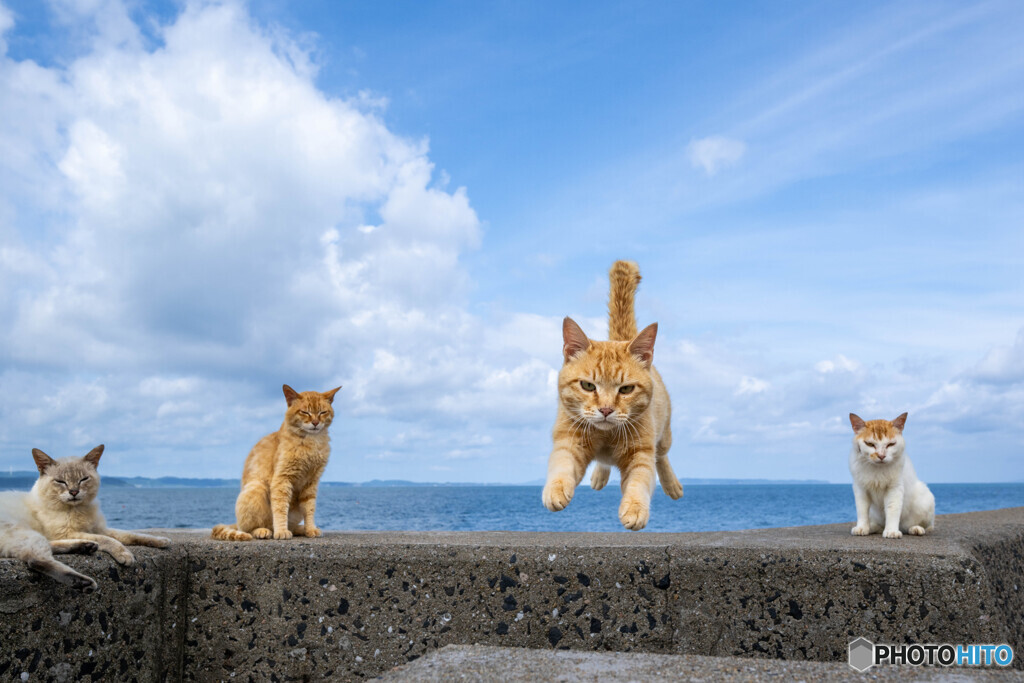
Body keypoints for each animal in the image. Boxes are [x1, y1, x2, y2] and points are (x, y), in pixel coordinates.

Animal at [210, 385, 339, 540]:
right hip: (256, 488)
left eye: (322, 412)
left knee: (292, 525)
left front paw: (310, 529)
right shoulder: (281, 479)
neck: (311, 442)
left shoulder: (311, 482)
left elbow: (309, 508)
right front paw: (281, 531)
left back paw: (300, 529)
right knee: (249, 528)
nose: (315, 423)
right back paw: (263, 531)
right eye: (305, 412)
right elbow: (280, 508)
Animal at [540, 259, 684, 532]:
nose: (606, 409)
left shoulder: (641, 454)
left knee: (662, 456)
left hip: (665, 434)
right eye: (588, 385)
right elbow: (562, 465)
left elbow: (640, 481)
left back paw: (672, 484)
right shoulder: (567, 440)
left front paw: (635, 509)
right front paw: (556, 489)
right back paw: (599, 475)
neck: (605, 437)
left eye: (626, 389)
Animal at [847, 411, 937, 540]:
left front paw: (891, 531)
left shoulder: (894, 488)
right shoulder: (860, 489)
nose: (881, 456)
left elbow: (892, 509)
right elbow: (862, 510)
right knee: (878, 525)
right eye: (870, 444)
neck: (877, 469)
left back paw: (915, 528)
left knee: (926, 526)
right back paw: (871, 527)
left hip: (926, 501)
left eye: (890, 444)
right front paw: (862, 527)